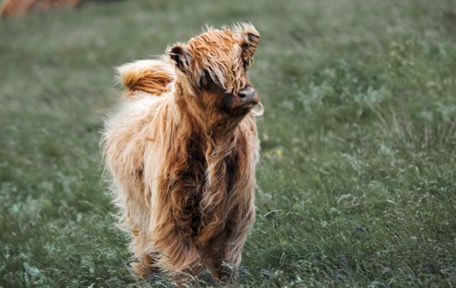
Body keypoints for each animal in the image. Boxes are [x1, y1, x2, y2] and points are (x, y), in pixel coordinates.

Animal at [102, 23, 262, 284]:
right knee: (143, 243)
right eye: (206, 76)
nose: (246, 94)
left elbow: (225, 259)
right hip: (136, 204)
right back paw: (144, 275)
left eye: (241, 64)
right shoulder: (171, 211)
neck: (213, 146)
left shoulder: (235, 208)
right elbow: (185, 263)